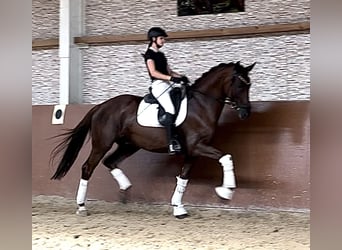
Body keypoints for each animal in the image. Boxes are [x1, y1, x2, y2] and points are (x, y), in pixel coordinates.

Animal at [49, 60, 255, 219]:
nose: (246, 113)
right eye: (240, 85)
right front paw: (226, 191)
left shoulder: (192, 152)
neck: (201, 105)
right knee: (88, 167)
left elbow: (183, 178)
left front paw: (178, 208)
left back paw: (125, 187)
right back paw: (82, 206)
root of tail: (101, 106)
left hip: (129, 145)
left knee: (110, 161)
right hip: (102, 144)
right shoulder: (197, 146)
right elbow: (226, 157)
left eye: (249, 85)